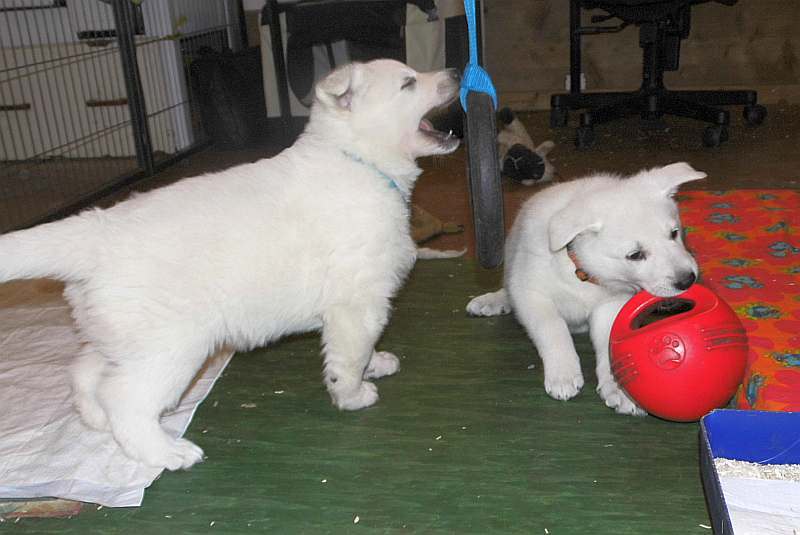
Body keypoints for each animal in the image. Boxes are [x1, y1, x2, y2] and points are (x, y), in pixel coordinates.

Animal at [0, 58, 460, 468]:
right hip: (171, 343)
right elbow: (349, 354)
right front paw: (352, 394)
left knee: (85, 372)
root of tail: (97, 233)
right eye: (408, 83)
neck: (357, 159)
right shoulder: (357, 302)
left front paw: (376, 364)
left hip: (122, 333)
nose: (457, 72)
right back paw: (167, 453)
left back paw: (96, 420)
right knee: (126, 398)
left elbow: (363, 348)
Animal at [468, 162, 708, 414]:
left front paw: (616, 386)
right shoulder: (532, 295)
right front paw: (563, 373)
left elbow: (609, 342)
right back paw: (492, 301)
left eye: (674, 233)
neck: (581, 272)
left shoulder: (610, 306)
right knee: (508, 289)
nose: (687, 280)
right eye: (635, 255)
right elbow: (553, 329)